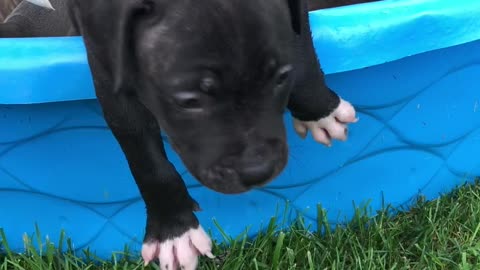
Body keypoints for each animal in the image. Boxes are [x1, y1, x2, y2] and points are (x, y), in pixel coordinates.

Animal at [1, 1, 358, 268]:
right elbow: (146, 159)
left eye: (281, 78)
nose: (258, 171)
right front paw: (173, 232)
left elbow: (301, 49)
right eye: (188, 101)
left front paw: (319, 111)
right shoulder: (108, 69)